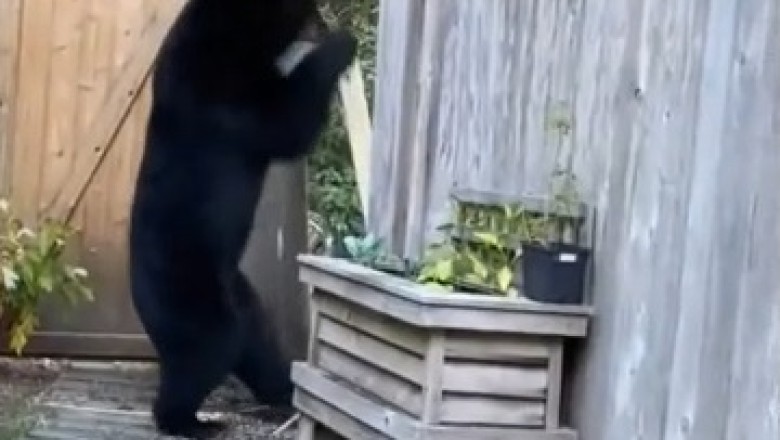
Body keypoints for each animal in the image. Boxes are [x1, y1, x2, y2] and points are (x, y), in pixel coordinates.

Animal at [127, 0, 357, 437]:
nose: (321, 21)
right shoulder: (219, 89)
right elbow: (285, 122)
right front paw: (343, 43)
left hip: (241, 297)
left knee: (257, 343)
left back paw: (284, 389)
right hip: (192, 293)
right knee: (209, 350)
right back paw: (193, 421)